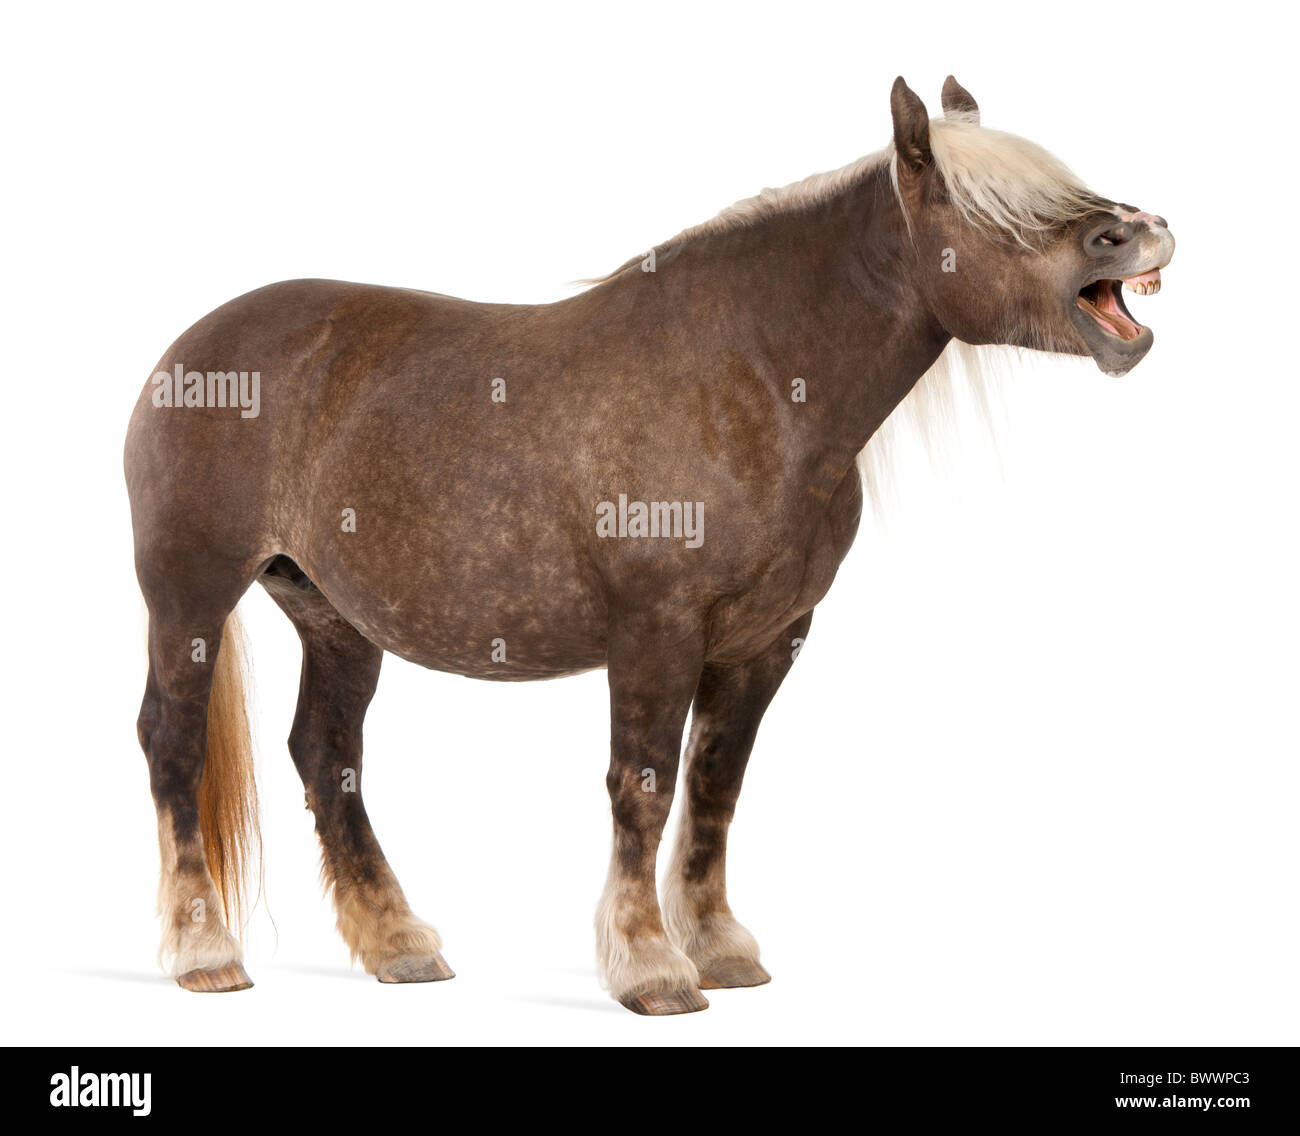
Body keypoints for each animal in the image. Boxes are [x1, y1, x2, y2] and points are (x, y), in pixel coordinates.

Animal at [124, 76, 1174, 1014]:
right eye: (995, 206)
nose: (1143, 229)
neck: (752, 379)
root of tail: (187, 355)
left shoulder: (765, 642)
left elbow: (713, 787)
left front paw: (718, 948)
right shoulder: (656, 631)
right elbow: (644, 785)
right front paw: (651, 968)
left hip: (334, 617)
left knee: (325, 752)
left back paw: (399, 946)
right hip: (190, 596)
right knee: (172, 744)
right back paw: (206, 954)